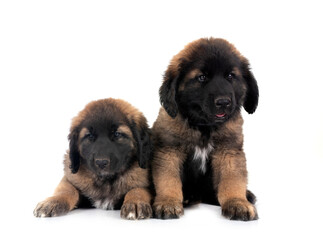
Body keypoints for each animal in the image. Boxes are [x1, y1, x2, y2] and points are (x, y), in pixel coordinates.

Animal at [152, 38, 260, 221]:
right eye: (201, 78)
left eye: (230, 76)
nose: (223, 102)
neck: (204, 127)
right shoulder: (169, 151)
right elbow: (168, 180)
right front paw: (168, 202)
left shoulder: (229, 151)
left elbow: (232, 180)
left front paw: (237, 203)